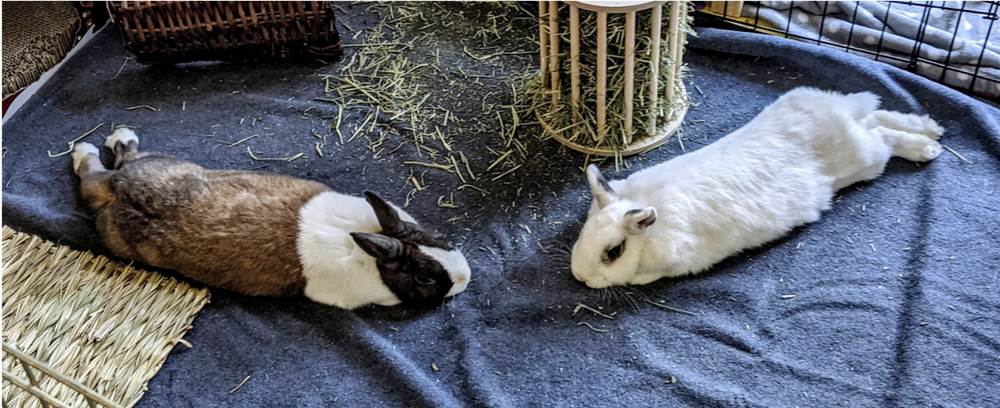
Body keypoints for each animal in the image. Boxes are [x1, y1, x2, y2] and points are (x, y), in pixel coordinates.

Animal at [71, 128, 471, 309]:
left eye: (431, 238)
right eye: (424, 277)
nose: (465, 277)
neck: (363, 247)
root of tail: (123, 190)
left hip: (157, 166)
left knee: (117, 164)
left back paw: (114, 137)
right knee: (92, 179)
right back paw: (83, 147)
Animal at [571, 87, 944, 288]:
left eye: (614, 252)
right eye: (585, 233)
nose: (581, 277)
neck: (649, 234)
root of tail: (840, 113)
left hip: (867, 158)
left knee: (884, 137)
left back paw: (927, 148)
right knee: (878, 117)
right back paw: (931, 128)